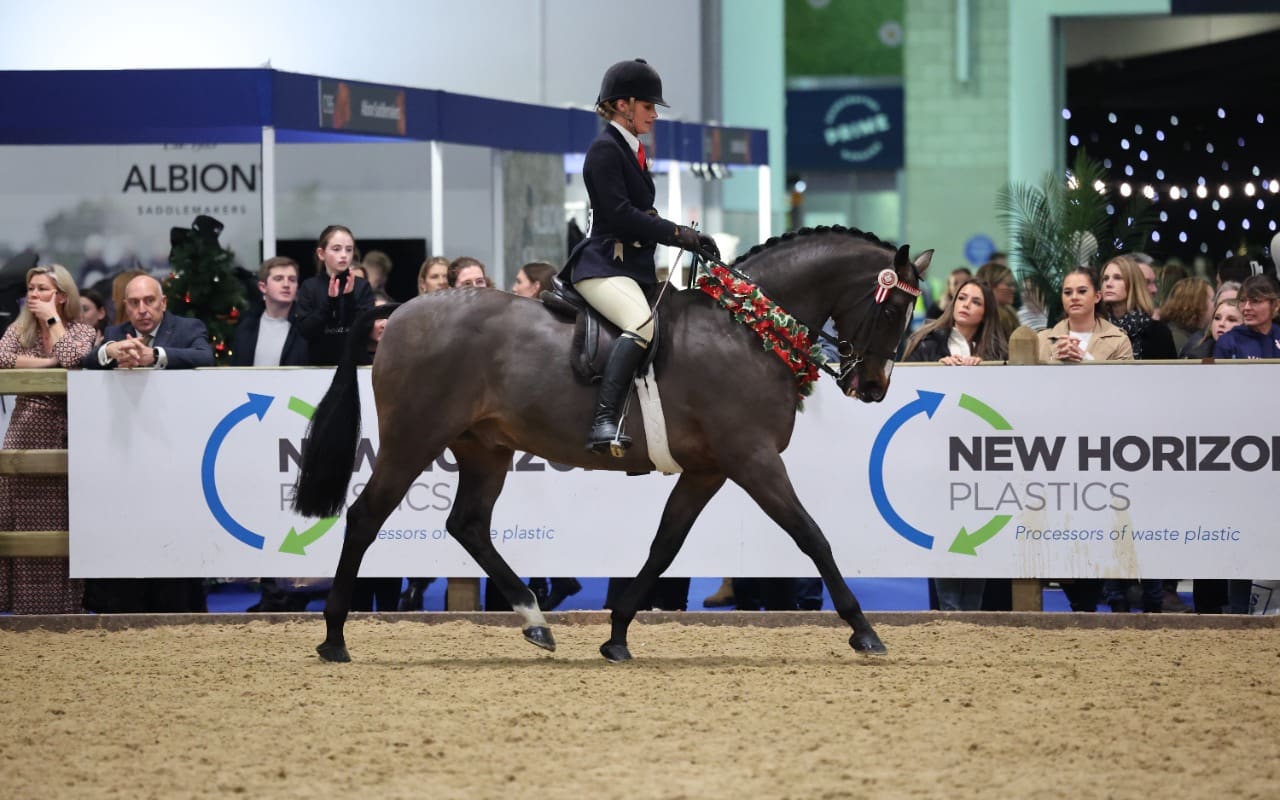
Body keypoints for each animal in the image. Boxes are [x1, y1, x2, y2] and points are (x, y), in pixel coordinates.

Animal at [292, 226, 932, 663]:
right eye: (895, 308)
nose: (873, 388)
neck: (750, 328)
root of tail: (399, 309)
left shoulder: (708, 469)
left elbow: (664, 547)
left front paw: (617, 635)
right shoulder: (752, 458)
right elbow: (812, 536)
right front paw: (864, 630)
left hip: (485, 448)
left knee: (468, 524)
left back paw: (535, 620)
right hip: (414, 438)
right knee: (365, 517)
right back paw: (333, 637)